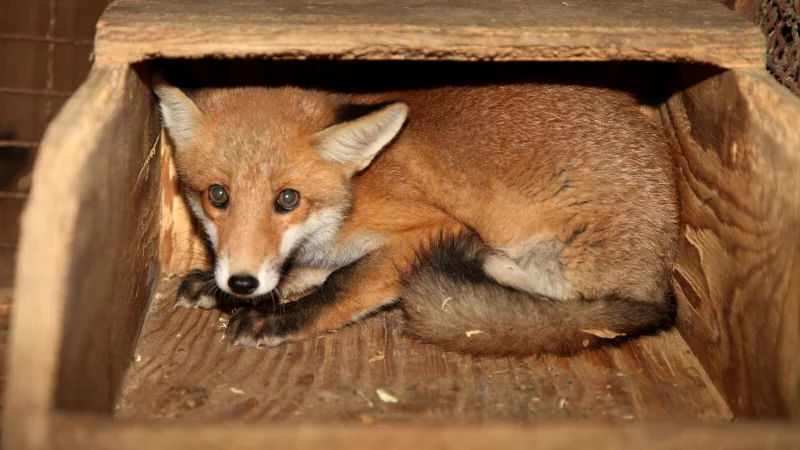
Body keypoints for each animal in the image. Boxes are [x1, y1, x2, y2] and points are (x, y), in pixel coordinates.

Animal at [153, 72, 679, 356]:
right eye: (217, 195)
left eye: (287, 199)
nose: (241, 283)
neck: (358, 189)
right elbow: (301, 267)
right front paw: (232, 289)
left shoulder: (435, 224)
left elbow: (346, 280)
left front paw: (280, 315)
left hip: (528, 240)